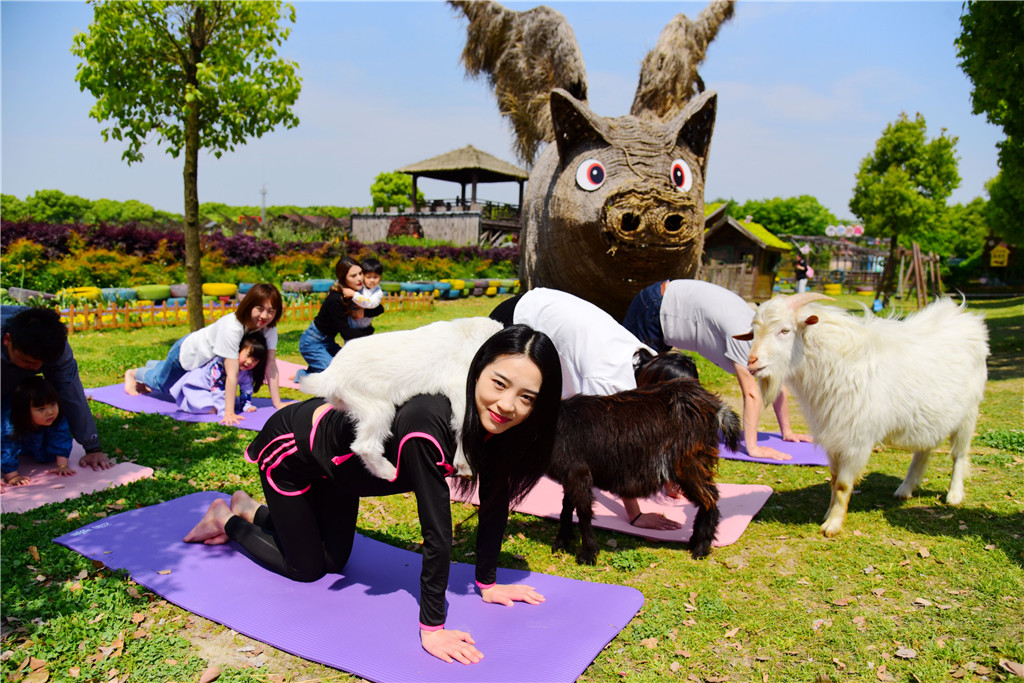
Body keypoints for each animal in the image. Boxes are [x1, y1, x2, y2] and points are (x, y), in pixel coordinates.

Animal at [299, 317, 501, 481]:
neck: (468, 336)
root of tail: (331, 374)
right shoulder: (458, 386)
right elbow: (462, 424)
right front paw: (464, 465)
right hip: (378, 409)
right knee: (364, 446)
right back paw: (388, 472)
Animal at [741, 294, 987, 540]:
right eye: (754, 332)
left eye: (785, 330)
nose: (752, 361)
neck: (838, 364)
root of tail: (964, 317)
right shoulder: (834, 434)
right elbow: (833, 479)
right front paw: (828, 513)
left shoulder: (856, 439)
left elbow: (842, 485)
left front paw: (832, 525)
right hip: (929, 417)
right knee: (923, 450)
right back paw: (905, 489)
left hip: (968, 413)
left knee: (959, 455)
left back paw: (954, 495)